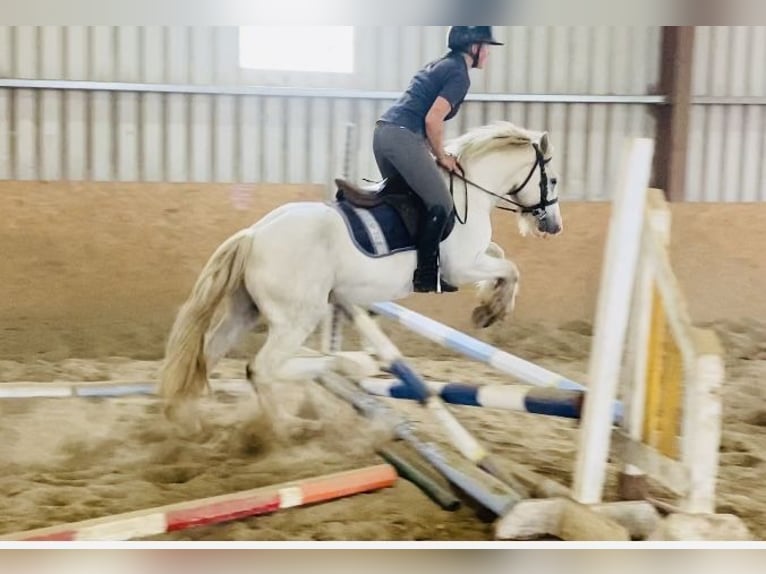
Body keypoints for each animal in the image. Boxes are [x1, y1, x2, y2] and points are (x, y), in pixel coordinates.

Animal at [159, 121, 564, 432]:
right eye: (555, 180)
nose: (554, 225)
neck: (471, 193)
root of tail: (254, 234)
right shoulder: (461, 265)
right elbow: (510, 268)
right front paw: (492, 311)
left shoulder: (474, 258)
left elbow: (501, 256)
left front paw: (487, 304)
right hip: (296, 319)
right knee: (262, 369)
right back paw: (295, 421)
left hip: (245, 312)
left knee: (207, 356)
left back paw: (189, 421)